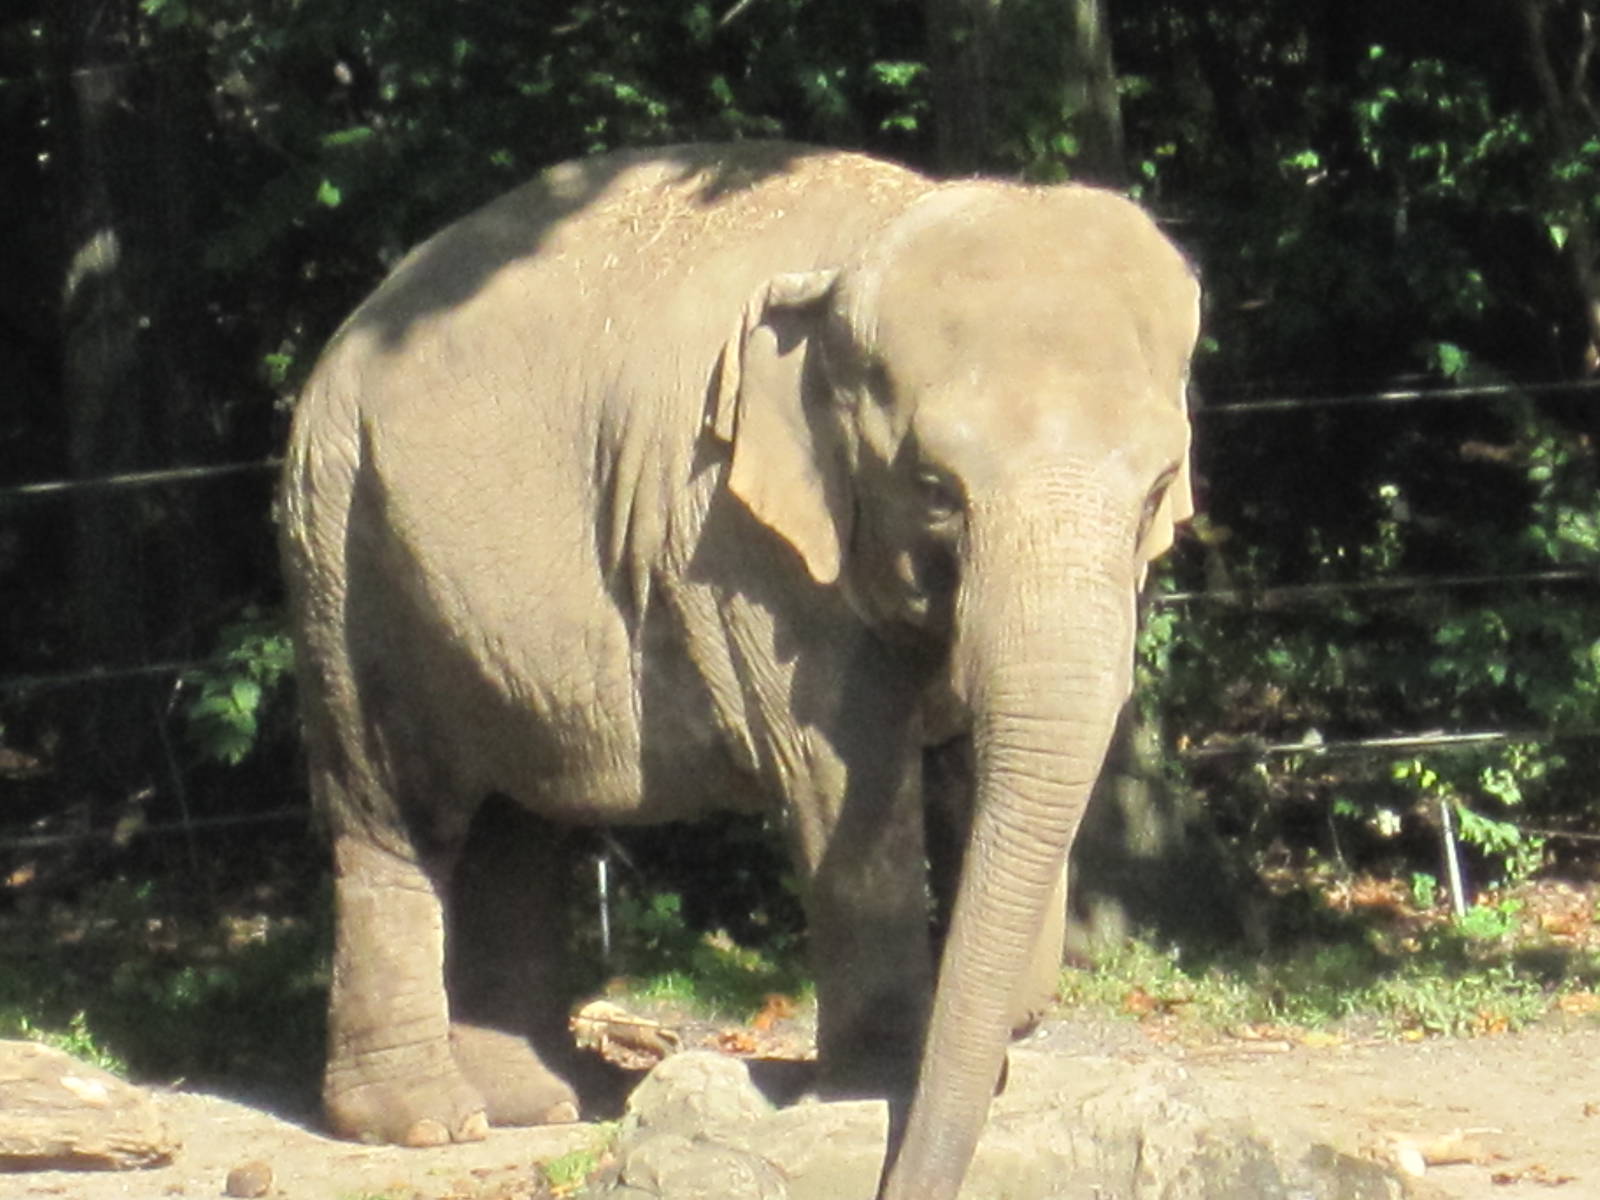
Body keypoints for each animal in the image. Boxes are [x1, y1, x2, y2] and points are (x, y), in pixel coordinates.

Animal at [278, 141, 1199, 1200]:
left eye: (1158, 492)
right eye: (935, 490)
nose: (1011, 1037)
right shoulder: (732, 531)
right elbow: (845, 766)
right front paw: (879, 1078)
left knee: (518, 822)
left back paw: (539, 1102)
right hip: (344, 551)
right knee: (394, 814)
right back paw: (428, 1123)